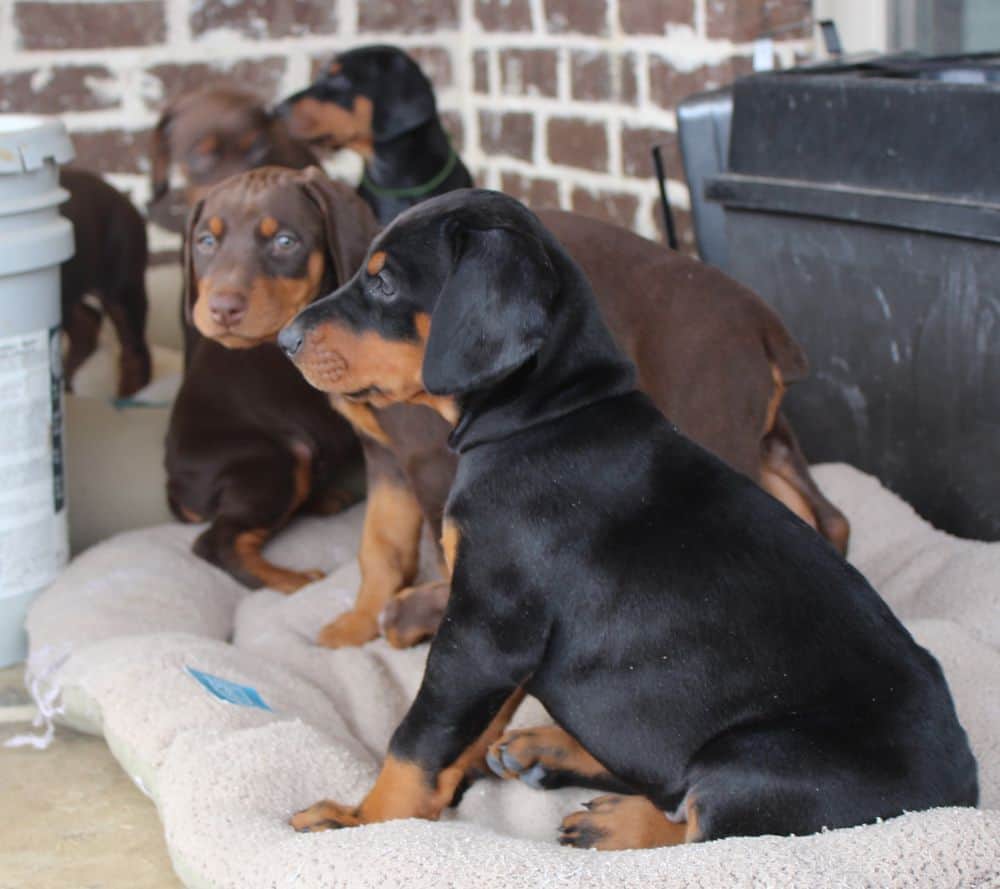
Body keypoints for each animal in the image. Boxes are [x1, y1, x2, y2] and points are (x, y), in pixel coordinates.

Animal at [168, 166, 378, 592]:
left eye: (285, 241)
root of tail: (176, 487)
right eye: (206, 241)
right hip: (277, 458)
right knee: (216, 543)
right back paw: (295, 581)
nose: (223, 309)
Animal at [278, 189, 972, 848]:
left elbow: (419, 736)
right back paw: (548, 748)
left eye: (384, 283)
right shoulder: (497, 632)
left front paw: (363, 822)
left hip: (765, 758)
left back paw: (615, 823)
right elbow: (473, 725)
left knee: (702, 819)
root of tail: (962, 789)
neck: (545, 417)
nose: (285, 341)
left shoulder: (484, 626)